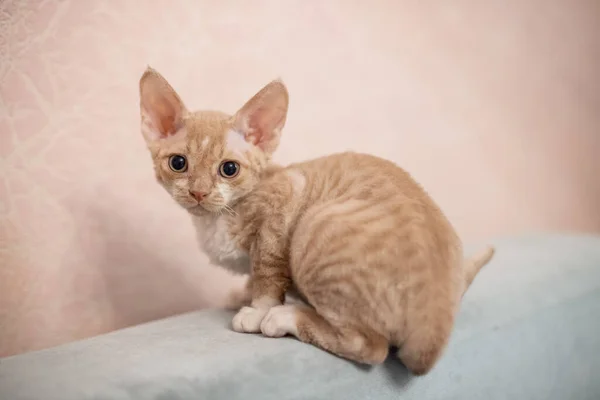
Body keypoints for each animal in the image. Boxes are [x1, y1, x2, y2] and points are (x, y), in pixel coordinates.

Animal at [138, 66, 494, 376]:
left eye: (229, 169)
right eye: (178, 163)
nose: (198, 192)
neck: (216, 219)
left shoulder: (287, 199)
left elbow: (267, 269)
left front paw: (258, 309)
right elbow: (255, 275)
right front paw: (244, 294)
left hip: (314, 226)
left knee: (372, 348)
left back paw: (285, 318)